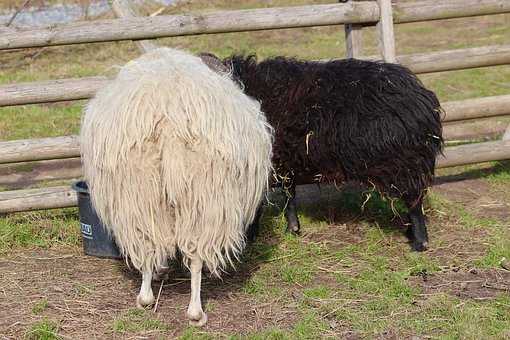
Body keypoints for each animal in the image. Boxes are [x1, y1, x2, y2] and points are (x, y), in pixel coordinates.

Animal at [199, 53, 442, 251]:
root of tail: (423, 99)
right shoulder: (284, 160)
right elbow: (289, 193)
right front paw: (293, 229)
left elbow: (260, 202)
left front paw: (251, 236)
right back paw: (410, 233)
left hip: (405, 163)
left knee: (414, 202)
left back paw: (420, 242)